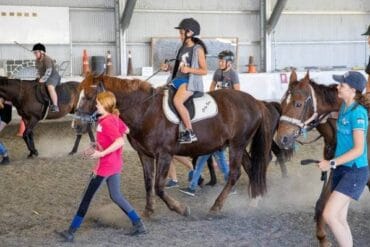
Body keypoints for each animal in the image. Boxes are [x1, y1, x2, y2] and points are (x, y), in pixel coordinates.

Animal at [74, 74, 272, 217]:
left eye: (90, 97)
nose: (76, 125)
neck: (145, 110)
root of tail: (256, 102)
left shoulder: (164, 154)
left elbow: (158, 186)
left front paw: (181, 209)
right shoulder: (144, 154)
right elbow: (148, 183)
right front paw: (148, 211)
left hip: (237, 144)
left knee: (235, 174)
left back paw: (216, 207)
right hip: (239, 145)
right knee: (251, 168)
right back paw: (254, 201)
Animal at [274, 70, 370, 246]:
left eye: (298, 104)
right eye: (282, 103)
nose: (281, 139)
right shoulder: (335, 171)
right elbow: (321, 204)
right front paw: (322, 237)